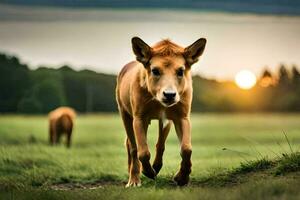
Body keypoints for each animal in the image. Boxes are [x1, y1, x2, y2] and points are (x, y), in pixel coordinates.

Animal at [115, 36, 206, 187]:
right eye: (155, 71)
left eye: (180, 71)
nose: (169, 95)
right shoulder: (139, 118)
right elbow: (142, 152)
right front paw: (148, 172)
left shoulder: (181, 117)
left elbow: (186, 149)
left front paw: (182, 177)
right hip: (125, 114)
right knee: (132, 146)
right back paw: (134, 178)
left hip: (163, 121)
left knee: (159, 144)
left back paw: (155, 167)